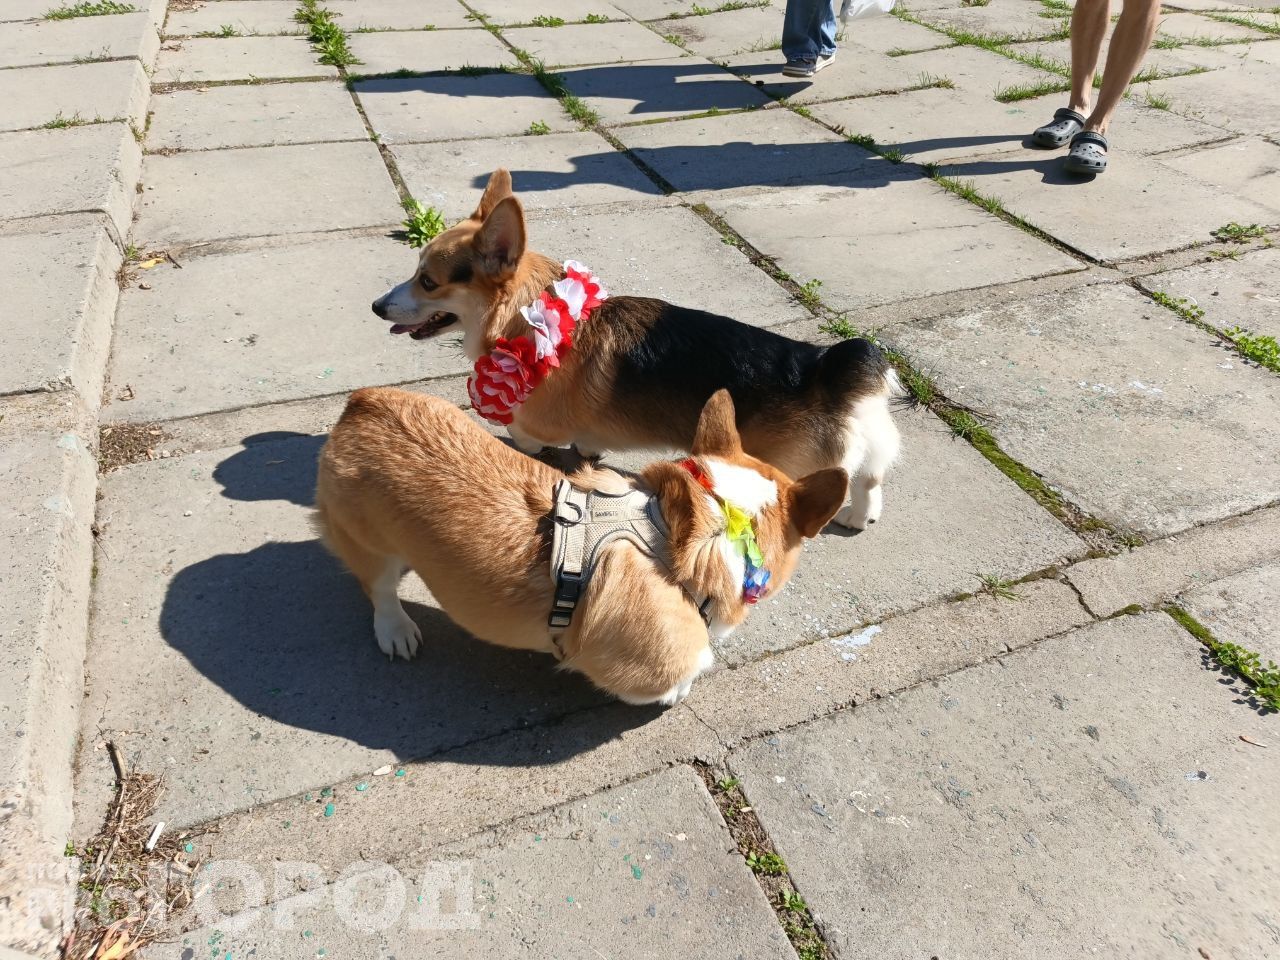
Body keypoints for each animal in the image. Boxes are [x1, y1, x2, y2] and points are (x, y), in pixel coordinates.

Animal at [315, 387, 846, 705]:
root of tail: (361, 402)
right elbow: (690, 666)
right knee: (379, 588)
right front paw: (680, 690)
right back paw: (396, 629)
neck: (713, 524)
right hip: (370, 545)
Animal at [372, 169, 900, 531]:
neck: (526, 311)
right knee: (868, 477)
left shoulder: (538, 422)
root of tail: (826, 371)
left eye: (428, 281)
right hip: (866, 447)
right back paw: (860, 516)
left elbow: (524, 434)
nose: (376, 306)